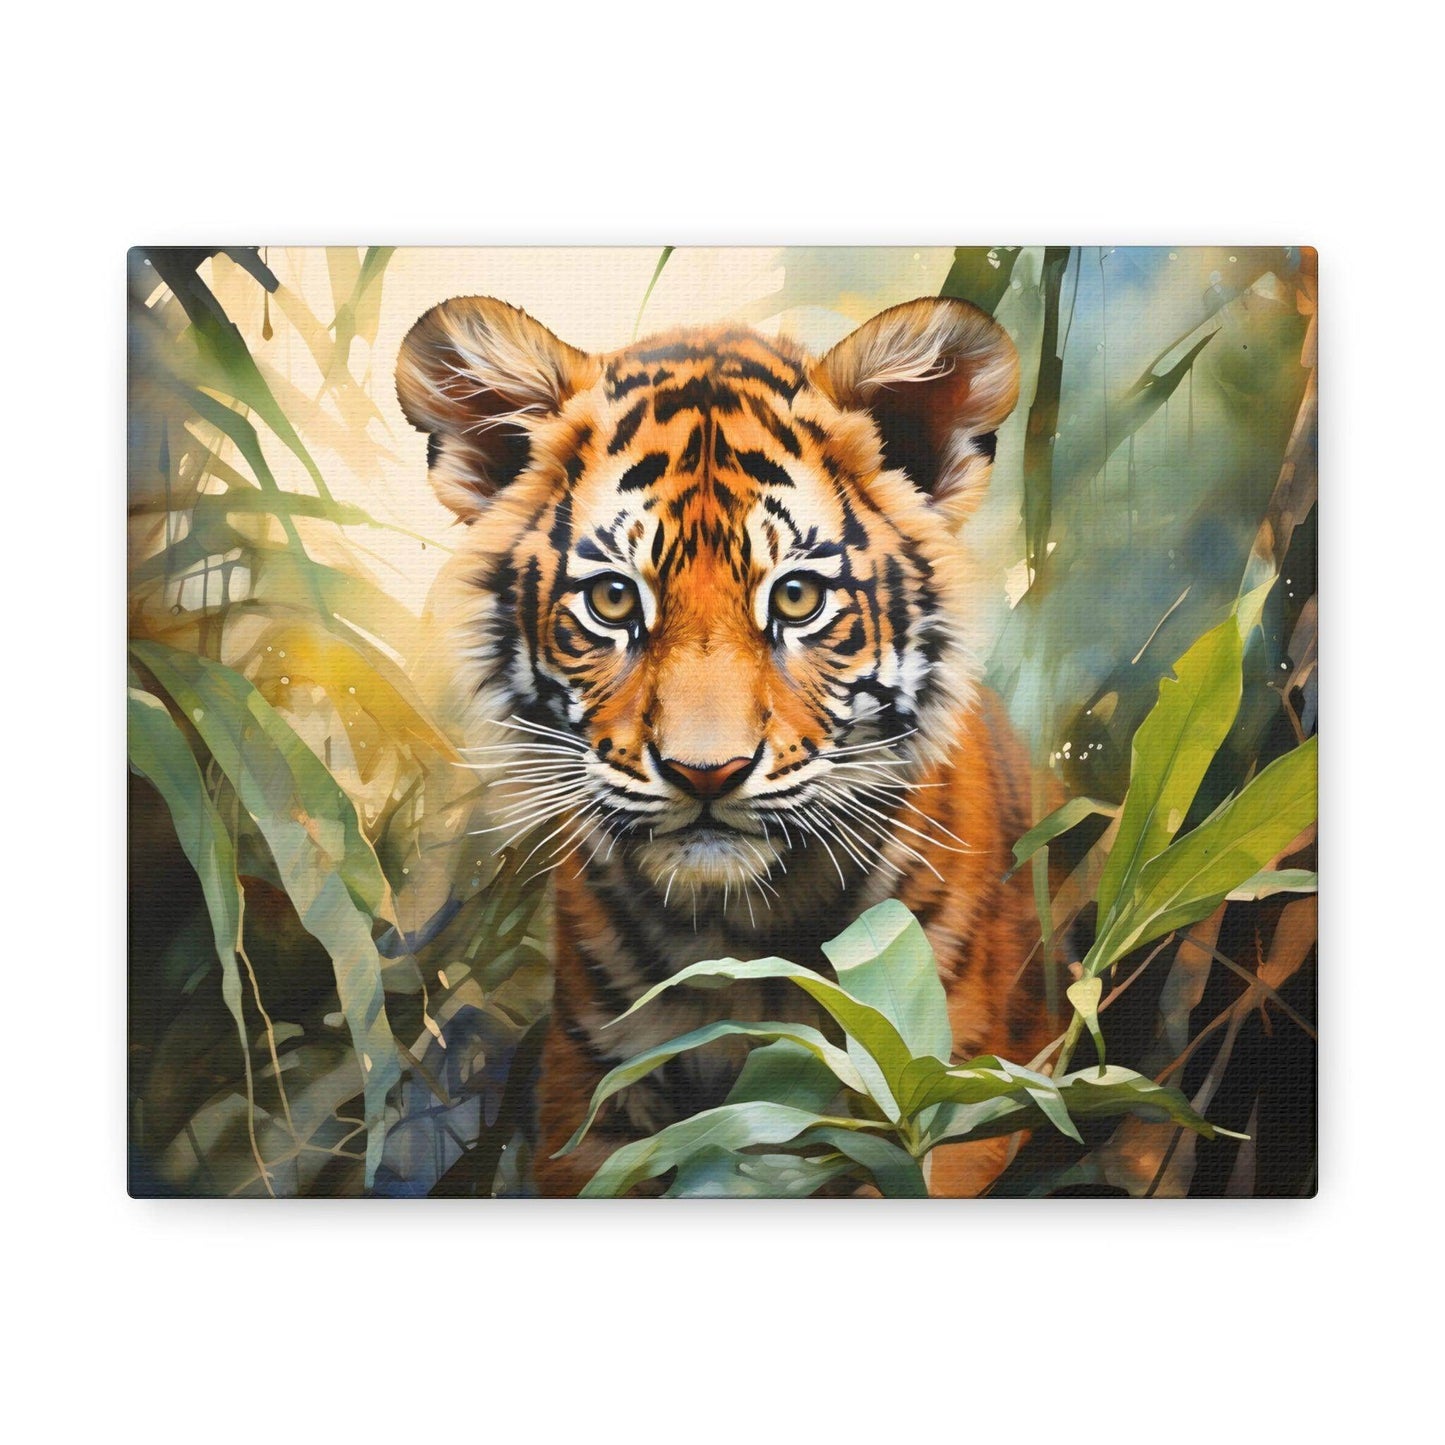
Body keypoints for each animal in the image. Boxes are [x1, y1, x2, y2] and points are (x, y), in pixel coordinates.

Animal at [396, 293, 1059, 1196]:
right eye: (612, 599)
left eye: (798, 596)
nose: (704, 773)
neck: (740, 937)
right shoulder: (588, 1104)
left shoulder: (961, 1097)